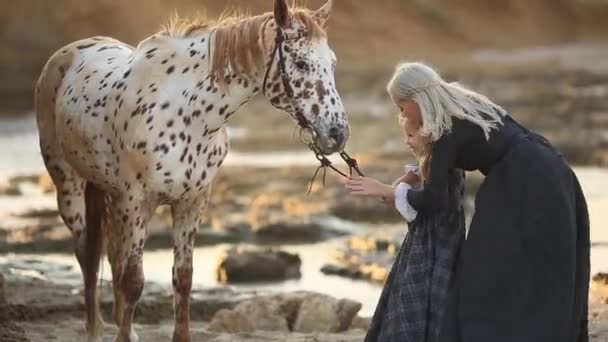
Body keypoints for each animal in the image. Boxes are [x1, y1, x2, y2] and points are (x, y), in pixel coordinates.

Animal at [34, 0, 346, 342]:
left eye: (332, 63)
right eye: (301, 63)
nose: (338, 133)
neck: (187, 114)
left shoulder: (191, 203)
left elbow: (182, 279)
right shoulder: (137, 203)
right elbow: (134, 282)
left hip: (111, 199)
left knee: (112, 256)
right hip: (72, 191)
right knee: (87, 258)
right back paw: (95, 329)